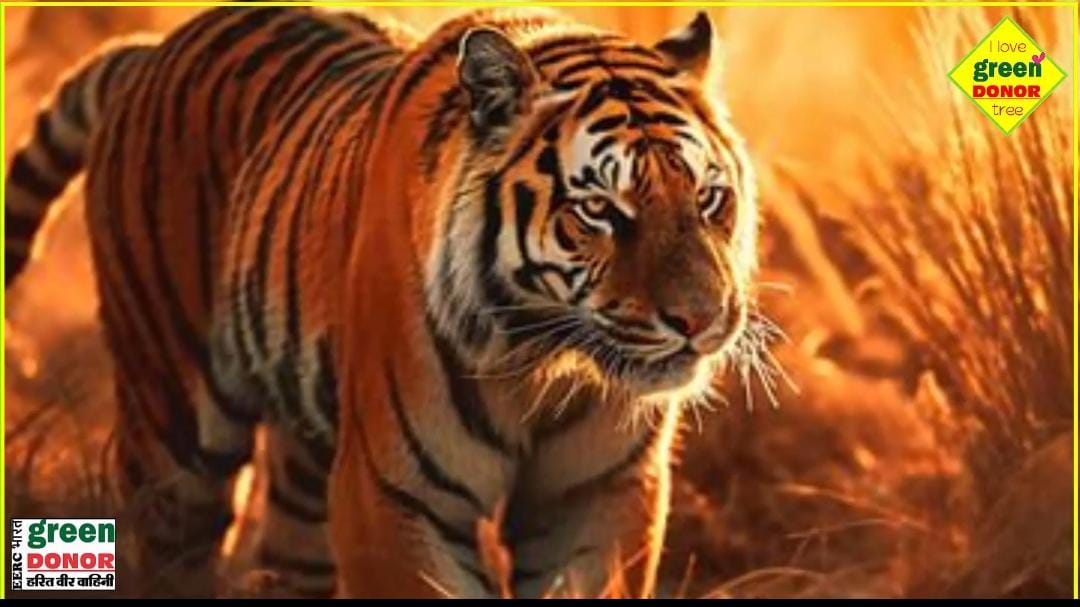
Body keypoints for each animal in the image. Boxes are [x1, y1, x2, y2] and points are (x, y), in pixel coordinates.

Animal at [4, 5, 758, 599]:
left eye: (708, 198)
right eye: (600, 210)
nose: (700, 321)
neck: (545, 359)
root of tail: (152, 52)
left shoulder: (599, 493)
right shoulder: (393, 497)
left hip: (305, 464)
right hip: (174, 435)